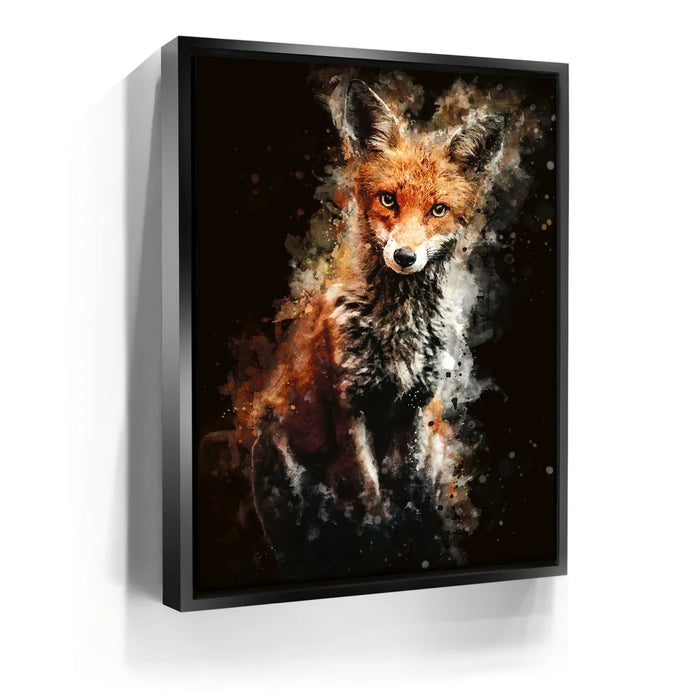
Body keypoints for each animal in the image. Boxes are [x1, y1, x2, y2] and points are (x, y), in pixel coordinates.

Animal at [250, 79, 504, 578]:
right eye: (389, 200)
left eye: (438, 210)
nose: (405, 257)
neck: (398, 328)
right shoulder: (350, 406)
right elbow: (370, 496)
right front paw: (380, 541)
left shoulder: (416, 406)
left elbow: (411, 492)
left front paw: (415, 540)